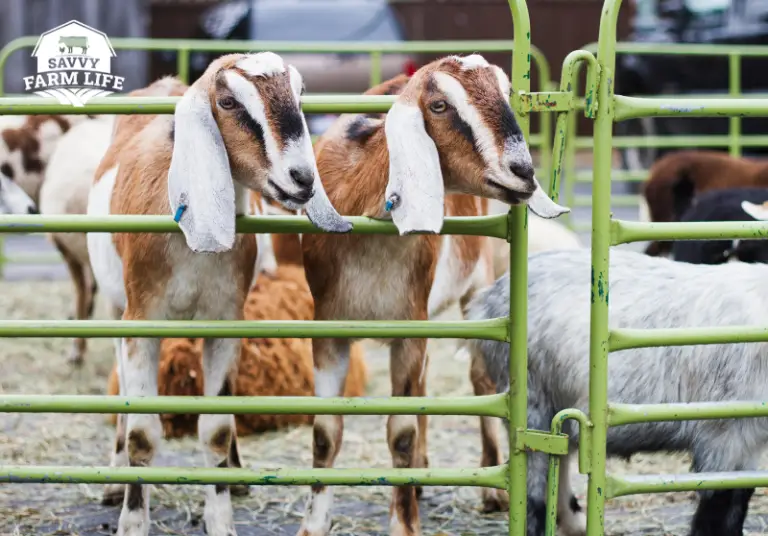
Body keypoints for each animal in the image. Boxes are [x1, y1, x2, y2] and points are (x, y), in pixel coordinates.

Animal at [86, 53, 350, 536]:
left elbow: (216, 429)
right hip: (116, 309)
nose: (302, 178)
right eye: (227, 102)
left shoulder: (224, 324)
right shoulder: (141, 322)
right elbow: (142, 433)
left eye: (300, 94)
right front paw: (132, 520)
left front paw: (221, 516)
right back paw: (113, 481)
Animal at [298, 56, 569, 536]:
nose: (523, 170)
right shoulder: (330, 329)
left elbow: (401, 433)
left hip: (476, 289)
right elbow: (326, 433)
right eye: (439, 105)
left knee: (480, 381)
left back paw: (492, 490)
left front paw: (404, 524)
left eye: (506, 92)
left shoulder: (410, 325)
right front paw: (313, 525)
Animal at [463, 242, 768, 536]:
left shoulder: (749, 443)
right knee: (534, 489)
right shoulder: (724, 437)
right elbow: (717, 515)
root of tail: (488, 298)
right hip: (531, 403)